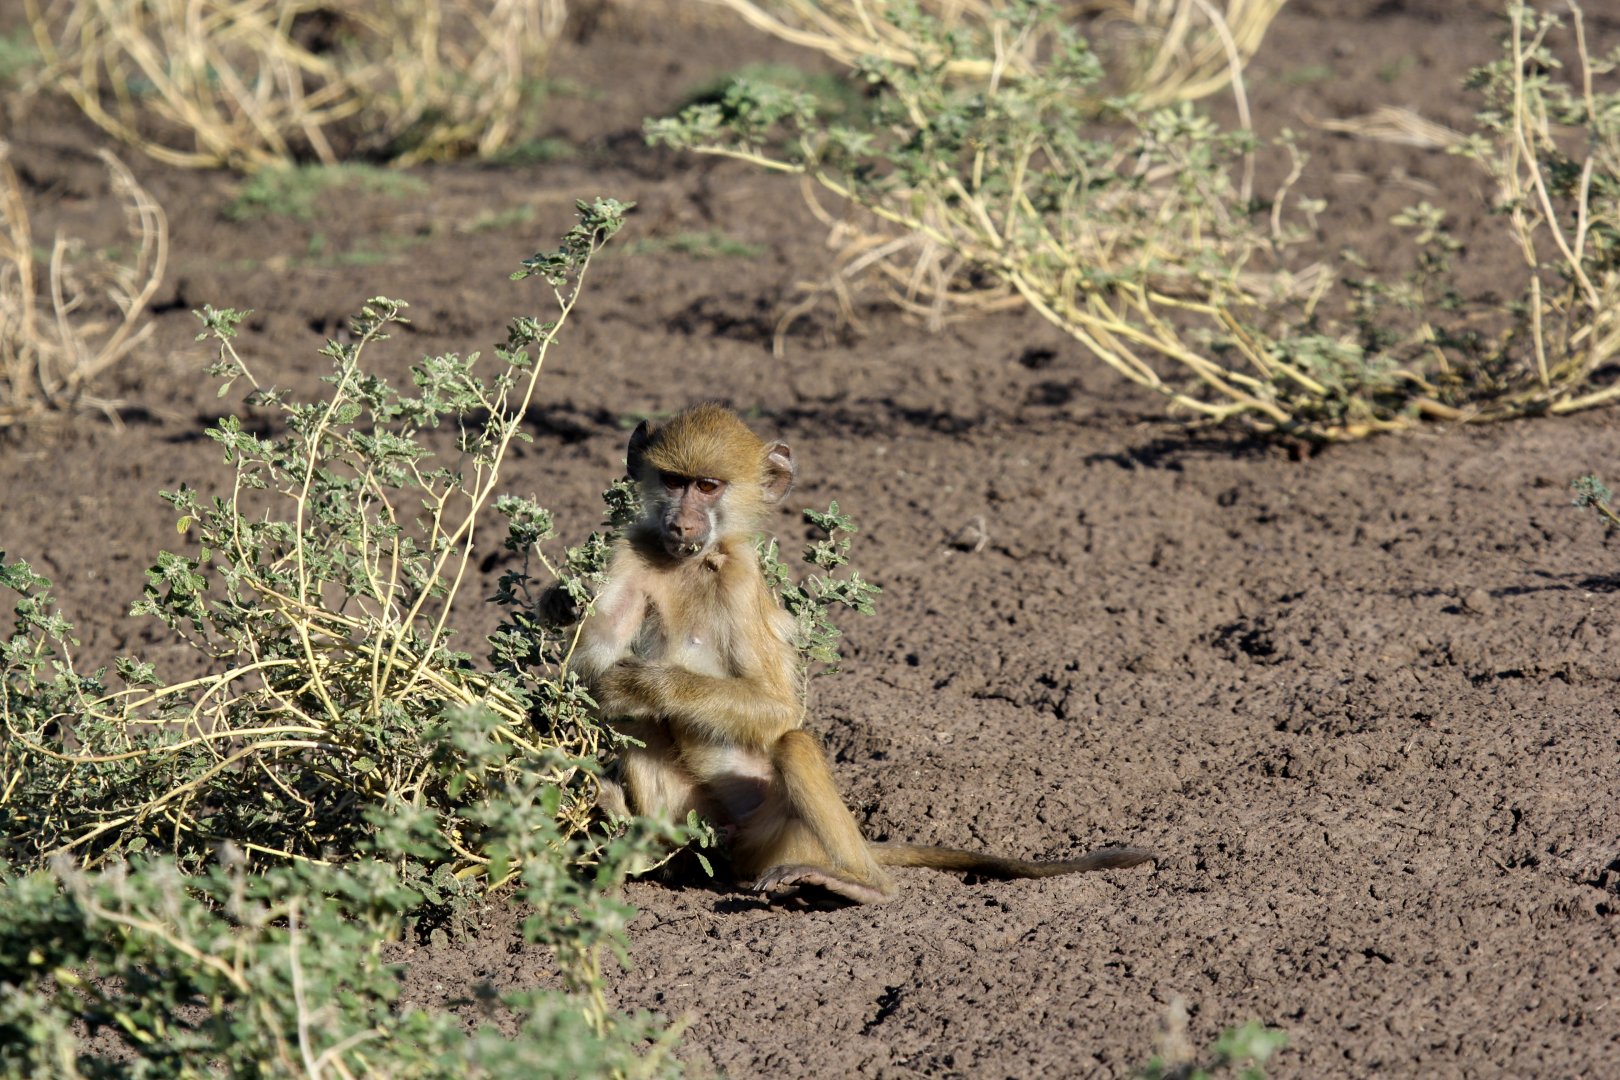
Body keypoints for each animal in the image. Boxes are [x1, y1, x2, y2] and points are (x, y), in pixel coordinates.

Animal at [563, 403, 1152, 904]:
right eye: (673, 481)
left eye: (708, 486)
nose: (682, 525)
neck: (691, 563)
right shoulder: (635, 546)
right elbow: (590, 660)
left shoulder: (739, 582)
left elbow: (777, 709)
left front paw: (635, 681)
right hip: (703, 823)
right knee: (639, 727)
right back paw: (639, 840)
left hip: (777, 836)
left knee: (794, 745)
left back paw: (864, 885)